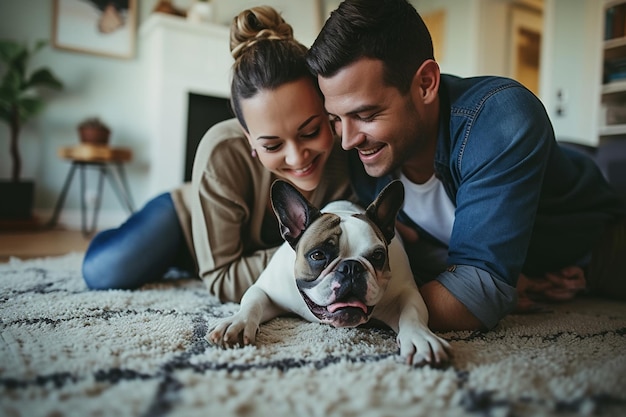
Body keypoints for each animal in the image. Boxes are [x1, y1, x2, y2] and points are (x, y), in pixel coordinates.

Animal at [207, 179, 450, 364]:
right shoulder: (266, 290)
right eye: (318, 255)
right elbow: (251, 302)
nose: (351, 267)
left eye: (378, 256)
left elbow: (413, 312)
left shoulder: (406, 293)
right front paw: (236, 322)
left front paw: (419, 337)